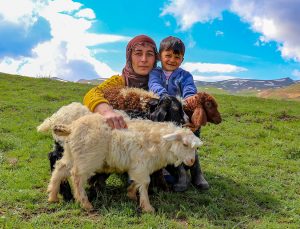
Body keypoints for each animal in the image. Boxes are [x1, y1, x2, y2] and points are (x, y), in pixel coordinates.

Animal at [47, 112, 202, 213]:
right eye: (185, 144)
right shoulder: (141, 164)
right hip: (87, 158)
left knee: (59, 168)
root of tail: (71, 127)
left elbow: (136, 181)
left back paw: (53, 196)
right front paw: (147, 207)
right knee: (77, 177)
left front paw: (131, 194)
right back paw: (85, 204)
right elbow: (145, 183)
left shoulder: (138, 166)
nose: (191, 161)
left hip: (72, 154)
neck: (159, 141)